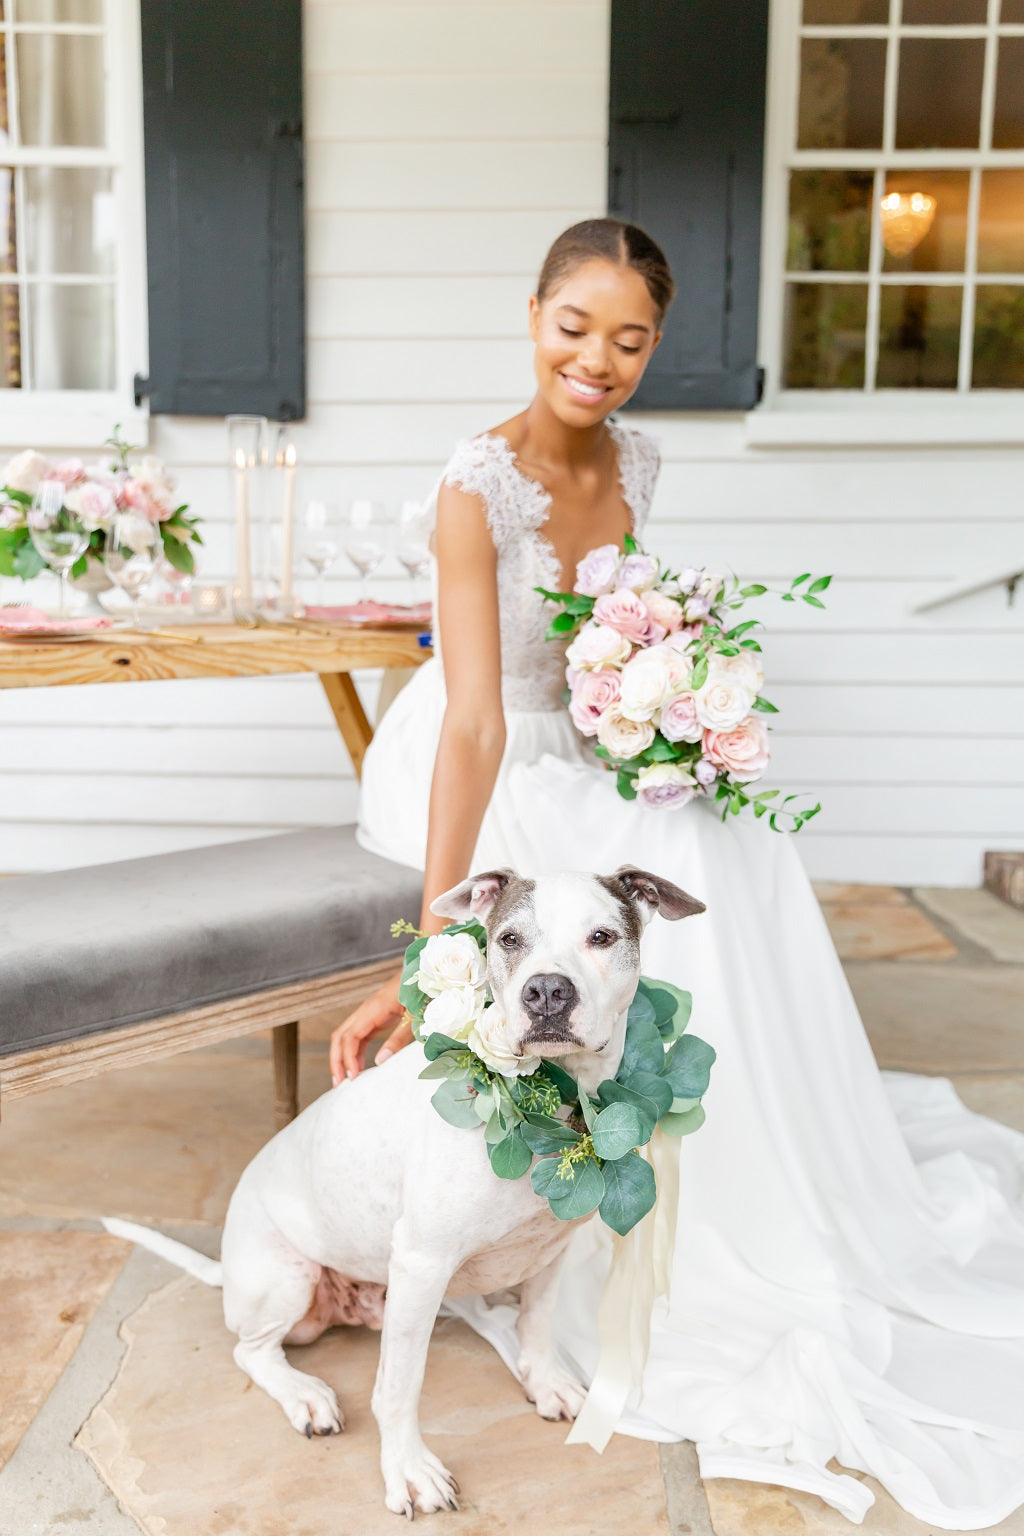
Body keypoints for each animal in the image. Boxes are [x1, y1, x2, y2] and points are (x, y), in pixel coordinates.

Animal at [110, 872, 706, 1517]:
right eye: (509, 938)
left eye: (602, 936)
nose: (546, 991)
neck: (558, 1102)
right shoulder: (422, 1266)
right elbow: (400, 1387)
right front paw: (408, 1469)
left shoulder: (549, 1251)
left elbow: (537, 1323)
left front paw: (543, 1380)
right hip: (291, 1282)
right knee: (252, 1351)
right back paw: (304, 1394)